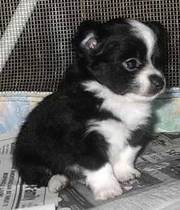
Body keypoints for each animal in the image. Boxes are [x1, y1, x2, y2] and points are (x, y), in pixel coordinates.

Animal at [13, 18, 166, 200]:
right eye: (131, 63)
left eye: (157, 62)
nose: (160, 82)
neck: (117, 98)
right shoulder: (83, 138)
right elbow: (99, 165)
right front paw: (108, 188)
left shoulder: (138, 129)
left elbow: (127, 153)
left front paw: (124, 173)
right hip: (29, 154)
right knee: (37, 174)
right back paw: (58, 181)